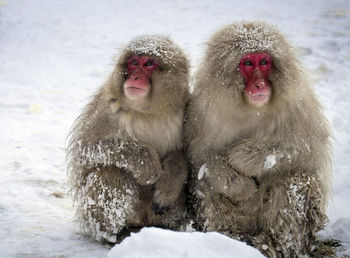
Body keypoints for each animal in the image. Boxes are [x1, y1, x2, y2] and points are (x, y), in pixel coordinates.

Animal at [67, 35, 190, 243]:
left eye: (148, 63)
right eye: (133, 62)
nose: (135, 77)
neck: (148, 112)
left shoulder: (187, 112)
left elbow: (183, 155)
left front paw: (168, 186)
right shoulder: (107, 108)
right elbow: (86, 149)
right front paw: (147, 164)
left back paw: (165, 230)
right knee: (109, 173)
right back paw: (113, 234)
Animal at [185, 21, 332, 256]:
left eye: (263, 62)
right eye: (247, 63)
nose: (260, 84)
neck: (251, 108)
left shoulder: (299, 106)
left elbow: (307, 150)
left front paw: (242, 158)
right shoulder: (203, 111)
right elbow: (201, 156)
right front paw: (240, 185)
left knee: (294, 179)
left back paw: (275, 244)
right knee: (203, 183)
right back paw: (228, 237)